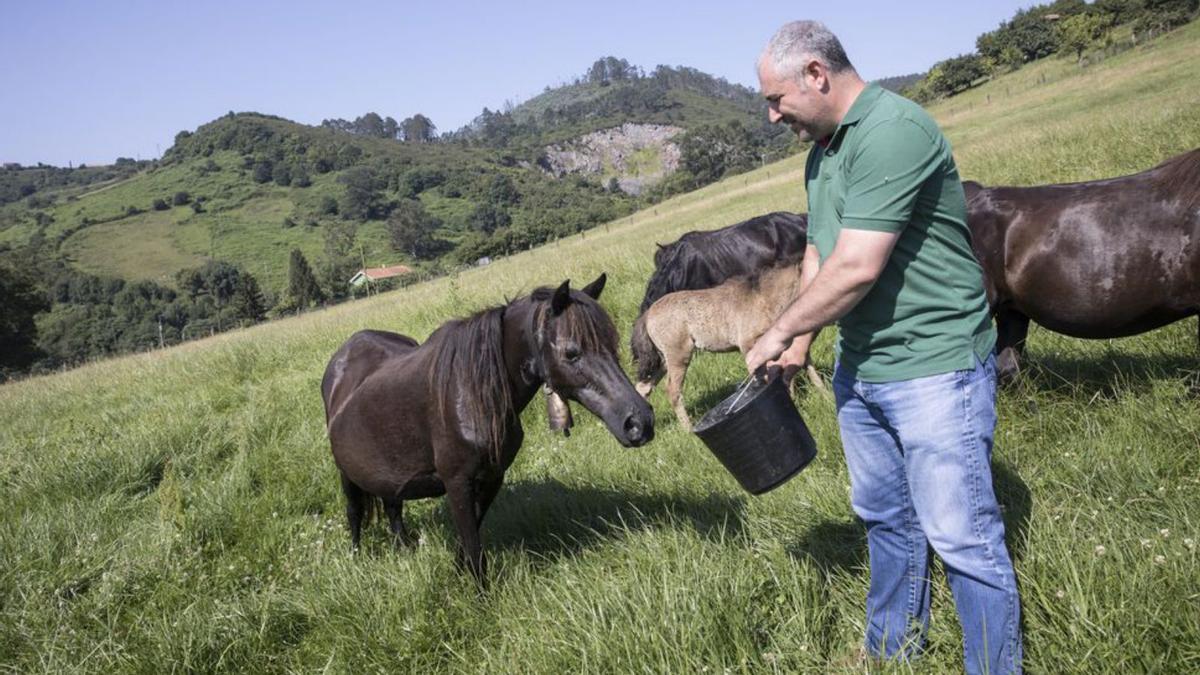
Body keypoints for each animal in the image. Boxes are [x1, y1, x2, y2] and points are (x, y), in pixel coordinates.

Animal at [319, 273, 652, 578]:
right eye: (572, 353)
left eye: (612, 343)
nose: (640, 422)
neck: (472, 392)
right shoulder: (457, 483)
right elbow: (473, 546)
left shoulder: (491, 477)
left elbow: (469, 541)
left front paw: (458, 573)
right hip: (346, 474)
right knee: (355, 513)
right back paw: (356, 559)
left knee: (393, 508)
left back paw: (403, 550)